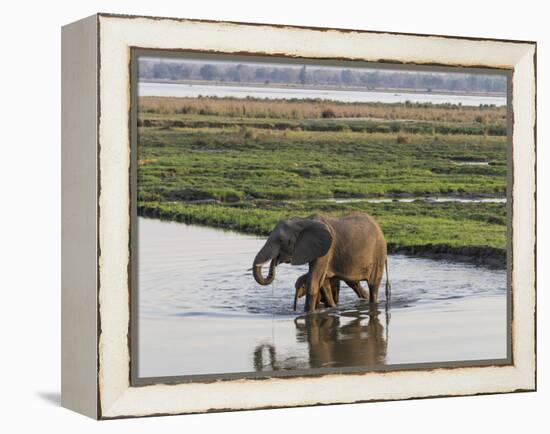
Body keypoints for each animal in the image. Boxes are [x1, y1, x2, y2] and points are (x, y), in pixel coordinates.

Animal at [252, 212, 390, 310]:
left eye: (281, 240)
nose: (275, 260)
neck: (302, 221)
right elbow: (323, 283)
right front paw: (331, 308)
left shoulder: (325, 251)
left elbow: (314, 282)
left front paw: (308, 313)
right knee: (354, 283)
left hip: (378, 254)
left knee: (373, 285)